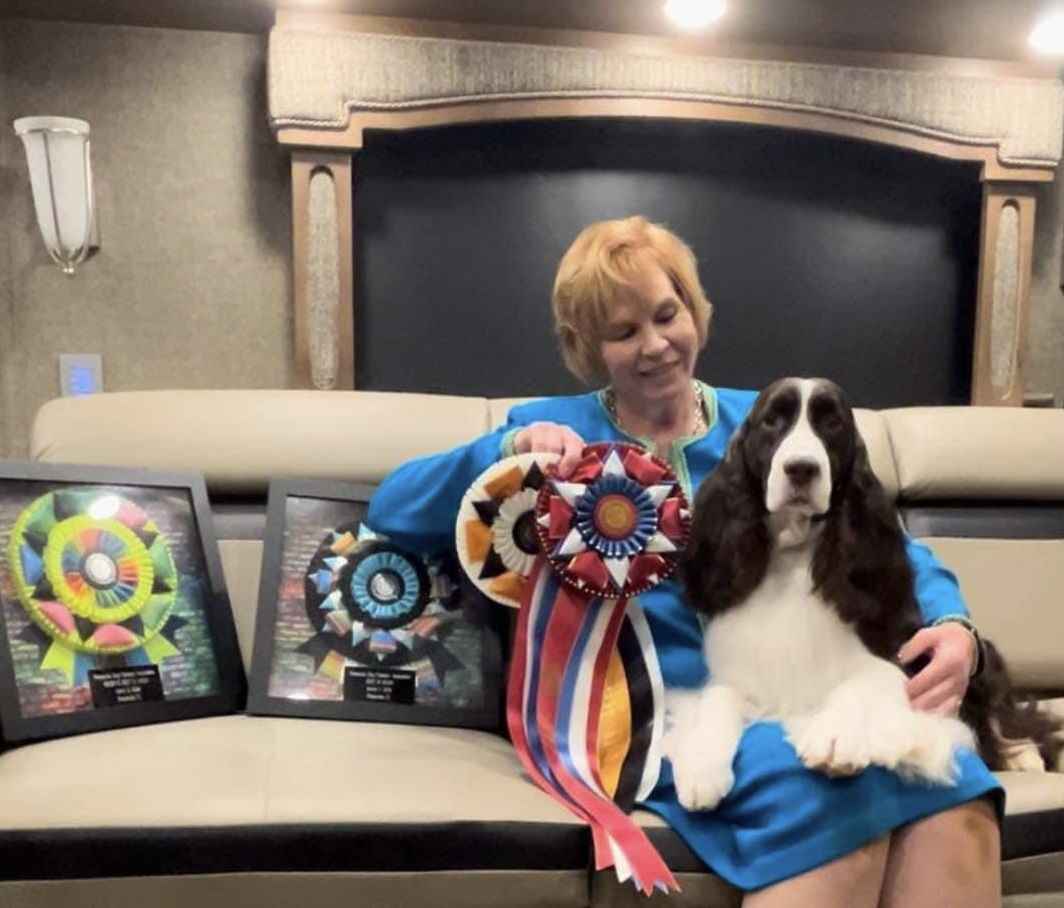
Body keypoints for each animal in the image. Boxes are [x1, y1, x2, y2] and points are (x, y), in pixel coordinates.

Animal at [665, 377, 1062, 811]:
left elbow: (858, 684)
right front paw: (701, 767)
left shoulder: (896, 663)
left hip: (976, 656)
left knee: (1007, 716)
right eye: (772, 420)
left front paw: (834, 738)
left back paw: (1023, 755)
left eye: (832, 423)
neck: (793, 553)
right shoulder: (742, 676)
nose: (801, 468)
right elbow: (717, 700)